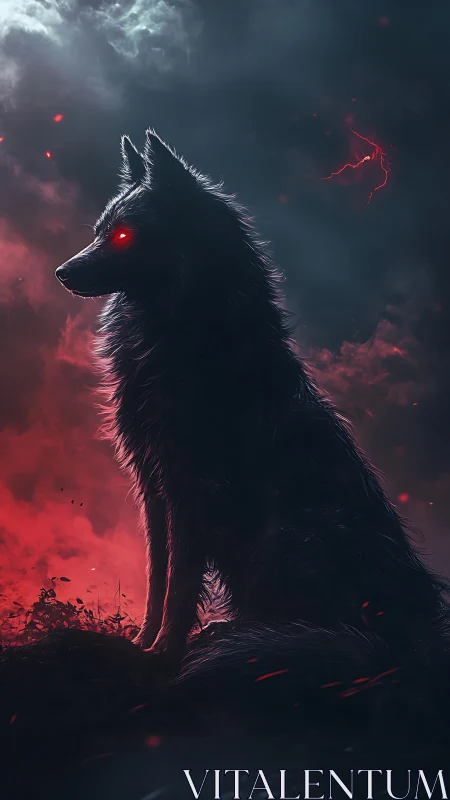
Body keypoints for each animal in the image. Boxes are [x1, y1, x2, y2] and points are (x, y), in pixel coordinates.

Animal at [56, 129, 449, 683]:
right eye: (99, 232)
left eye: (124, 236)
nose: (61, 272)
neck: (183, 328)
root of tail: (412, 643)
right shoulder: (153, 485)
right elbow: (158, 576)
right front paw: (142, 642)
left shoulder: (190, 488)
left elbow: (181, 584)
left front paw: (164, 655)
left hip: (287, 536)